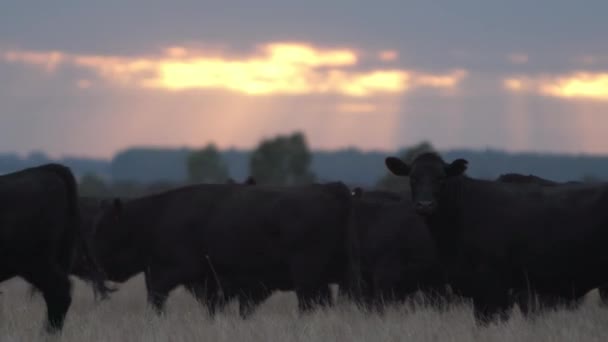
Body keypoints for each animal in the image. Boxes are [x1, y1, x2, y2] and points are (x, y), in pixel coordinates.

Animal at [85, 182, 352, 318]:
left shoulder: (170, 273)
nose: (97, 263)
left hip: (307, 280)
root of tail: (332, 189)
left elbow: (156, 298)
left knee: (308, 305)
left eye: (105, 229)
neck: (155, 217)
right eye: (94, 227)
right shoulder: (212, 285)